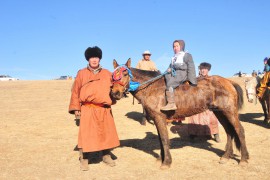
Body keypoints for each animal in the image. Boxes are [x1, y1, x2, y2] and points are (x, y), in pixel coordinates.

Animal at [110, 58, 249, 169]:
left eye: (124, 73)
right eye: (112, 76)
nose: (115, 93)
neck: (152, 87)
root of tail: (229, 82)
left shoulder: (160, 118)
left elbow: (164, 139)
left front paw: (166, 162)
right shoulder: (157, 119)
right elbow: (161, 139)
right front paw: (161, 158)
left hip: (229, 111)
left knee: (240, 131)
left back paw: (243, 159)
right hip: (220, 113)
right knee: (229, 132)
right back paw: (226, 156)